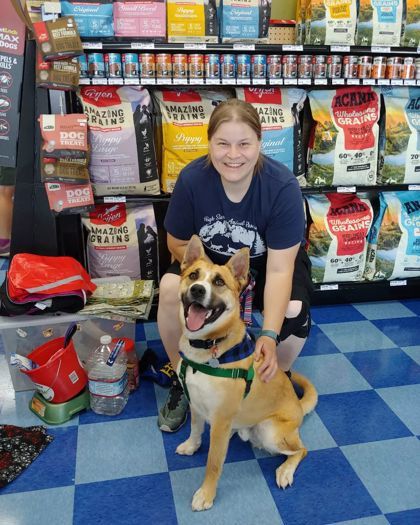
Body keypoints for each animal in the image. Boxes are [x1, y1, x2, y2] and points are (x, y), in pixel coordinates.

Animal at [175, 235, 318, 510]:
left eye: (219, 282)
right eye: (193, 275)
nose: (197, 289)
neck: (208, 347)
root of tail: (298, 406)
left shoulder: (220, 419)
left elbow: (213, 463)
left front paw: (206, 494)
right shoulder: (195, 403)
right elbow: (196, 429)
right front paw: (191, 445)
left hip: (270, 431)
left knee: (302, 449)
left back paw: (285, 471)